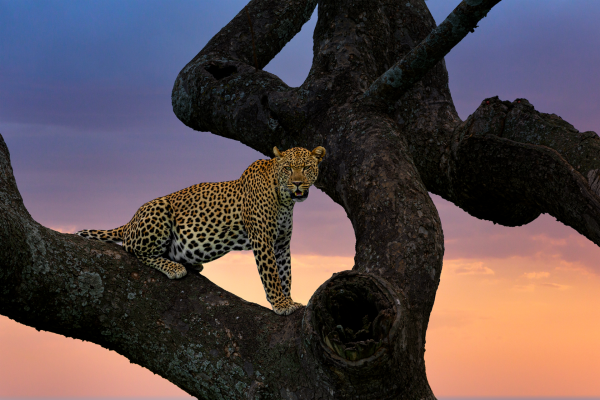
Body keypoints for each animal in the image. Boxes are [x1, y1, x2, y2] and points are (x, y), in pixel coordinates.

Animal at [78, 146, 328, 316]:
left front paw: (289, 300)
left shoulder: (281, 243)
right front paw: (280, 304)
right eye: (288, 169)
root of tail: (129, 222)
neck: (285, 200)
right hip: (158, 209)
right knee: (136, 250)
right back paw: (174, 267)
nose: (298, 183)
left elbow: (286, 273)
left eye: (306, 168)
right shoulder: (263, 240)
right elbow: (272, 275)